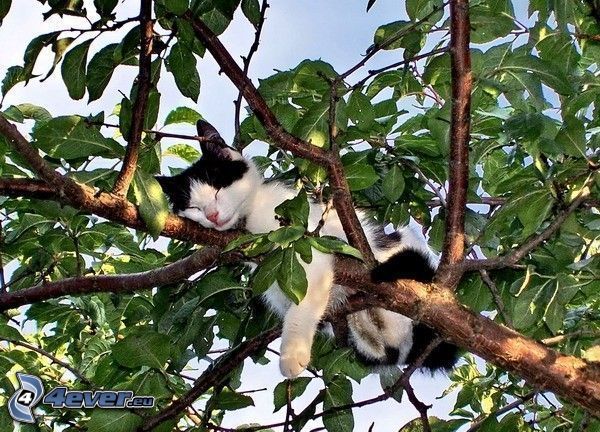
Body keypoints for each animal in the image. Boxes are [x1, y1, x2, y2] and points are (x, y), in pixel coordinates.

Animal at [156, 119, 460, 378]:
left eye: (219, 187)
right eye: (193, 207)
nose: (212, 216)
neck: (250, 217)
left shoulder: (306, 239)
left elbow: (302, 302)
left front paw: (292, 354)